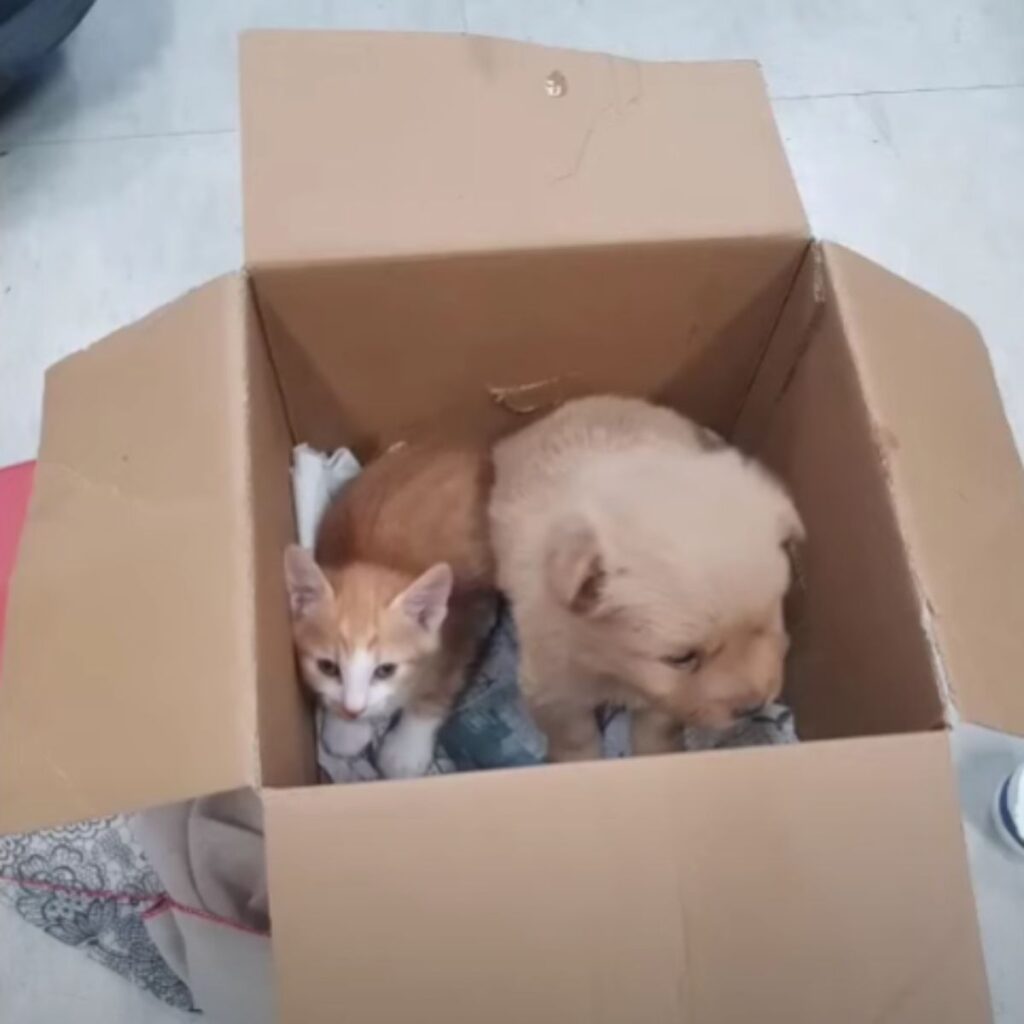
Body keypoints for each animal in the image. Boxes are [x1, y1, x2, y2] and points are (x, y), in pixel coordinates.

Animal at [284, 438, 495, 774]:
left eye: (385, 670)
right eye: (328, 667)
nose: (353, 710)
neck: (381, 558)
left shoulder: (458, 632)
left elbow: (439, 687)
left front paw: (406, 750)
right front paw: (346, 729)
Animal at [491, 395, 802, 765]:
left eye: (767, 622)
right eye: (681, 658)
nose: (754, 706)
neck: (611, 663)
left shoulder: (664, 698)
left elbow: (658, 725)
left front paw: (657, 754)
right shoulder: (553, 681)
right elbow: (572, 733)